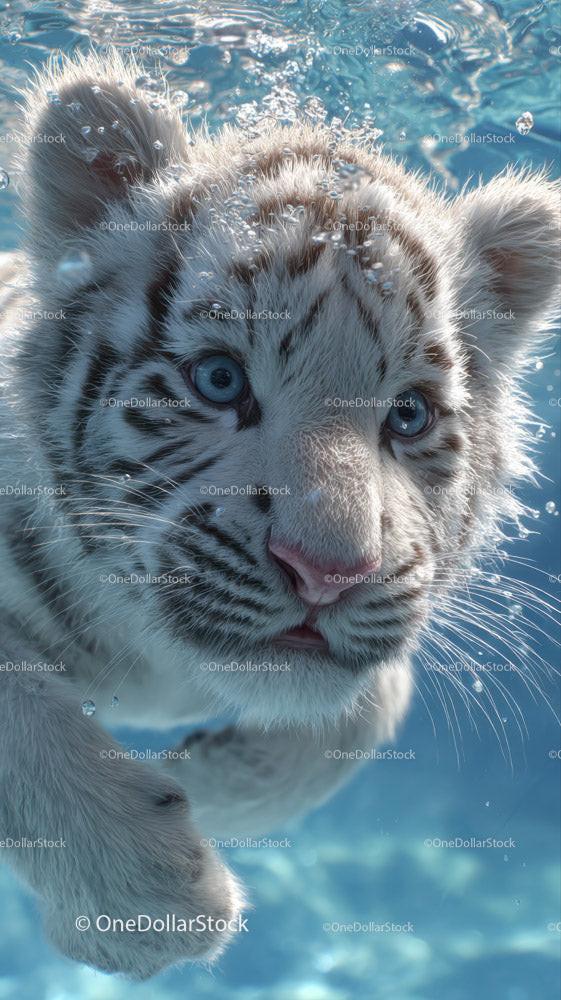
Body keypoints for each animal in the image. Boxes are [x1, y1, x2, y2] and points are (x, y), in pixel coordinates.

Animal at [0, 49, 559, 979]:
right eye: (219, 380)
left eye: (408, 415)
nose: (327, 573)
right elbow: (19, 711)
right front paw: (146, 902)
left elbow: (374, 698)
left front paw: (213, 790)